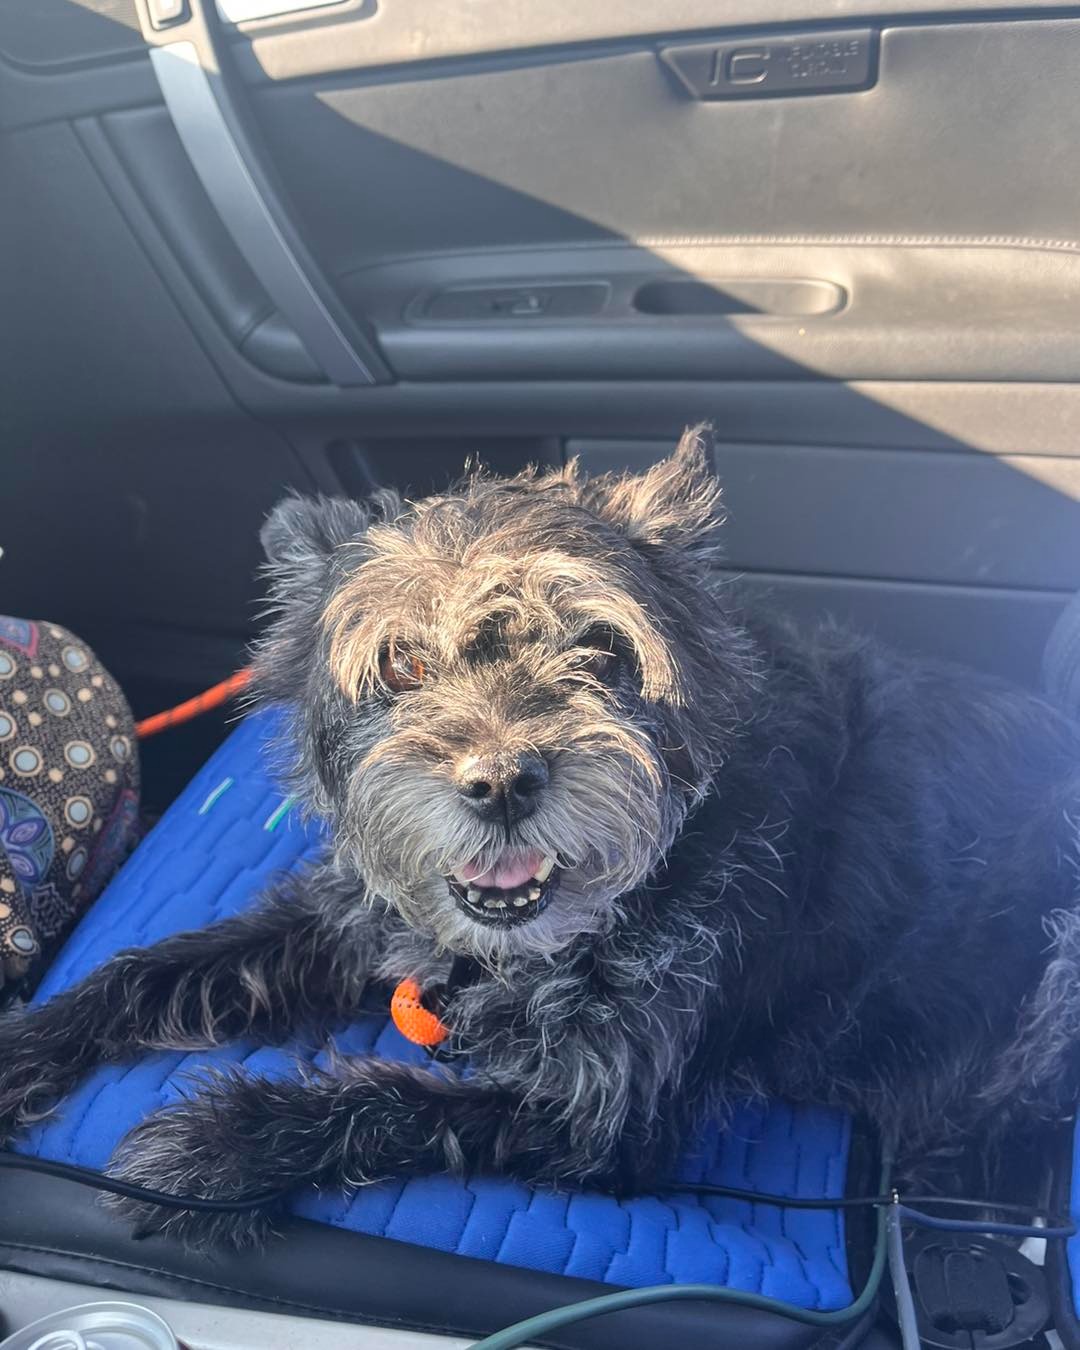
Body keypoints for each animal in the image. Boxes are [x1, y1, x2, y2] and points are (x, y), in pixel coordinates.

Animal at [2, 432, 1080, 1242]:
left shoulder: (602, 1116)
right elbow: (152, 970)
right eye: (401, 662)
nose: (500, 783)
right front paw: (26, 1045)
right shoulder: (351, 915)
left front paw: (217, 1140)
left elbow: (393, 1100)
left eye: (601, 648)